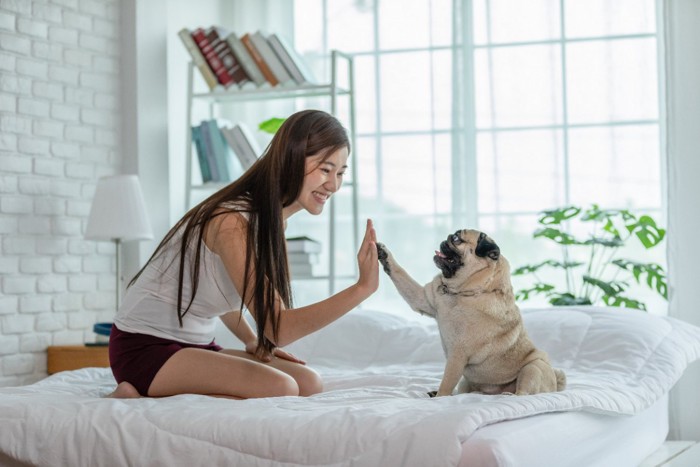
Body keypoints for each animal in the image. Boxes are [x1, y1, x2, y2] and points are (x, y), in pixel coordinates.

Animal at [374, 230, 568, 398]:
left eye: (457, 239)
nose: (446, 238)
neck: (460, 292)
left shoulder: (457, 355)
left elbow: (446, 383)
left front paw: (440, 397)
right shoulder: (422, 298)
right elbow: (399, 272)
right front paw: (383, 253)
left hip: (533, 368)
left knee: (524, 391)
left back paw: (509, 394)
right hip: (466, 383)